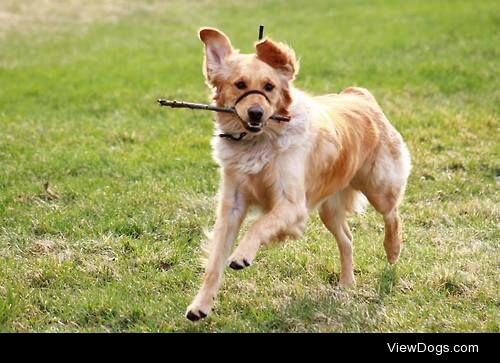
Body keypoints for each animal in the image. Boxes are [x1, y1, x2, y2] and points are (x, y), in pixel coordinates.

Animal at [186, 27, 412, 322]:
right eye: (240, 85)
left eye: (269, 87)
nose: (256, 113)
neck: (258, 142)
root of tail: (359, 94)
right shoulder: (231, 208)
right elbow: (214, 263)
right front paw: (200, 305)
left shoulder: (293, 205)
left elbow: (259, 225)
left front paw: (242, 255)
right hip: (329, 209)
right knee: (347, 239)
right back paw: (346, 283)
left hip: (379, 185)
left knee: (392, 214)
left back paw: (392, 251)